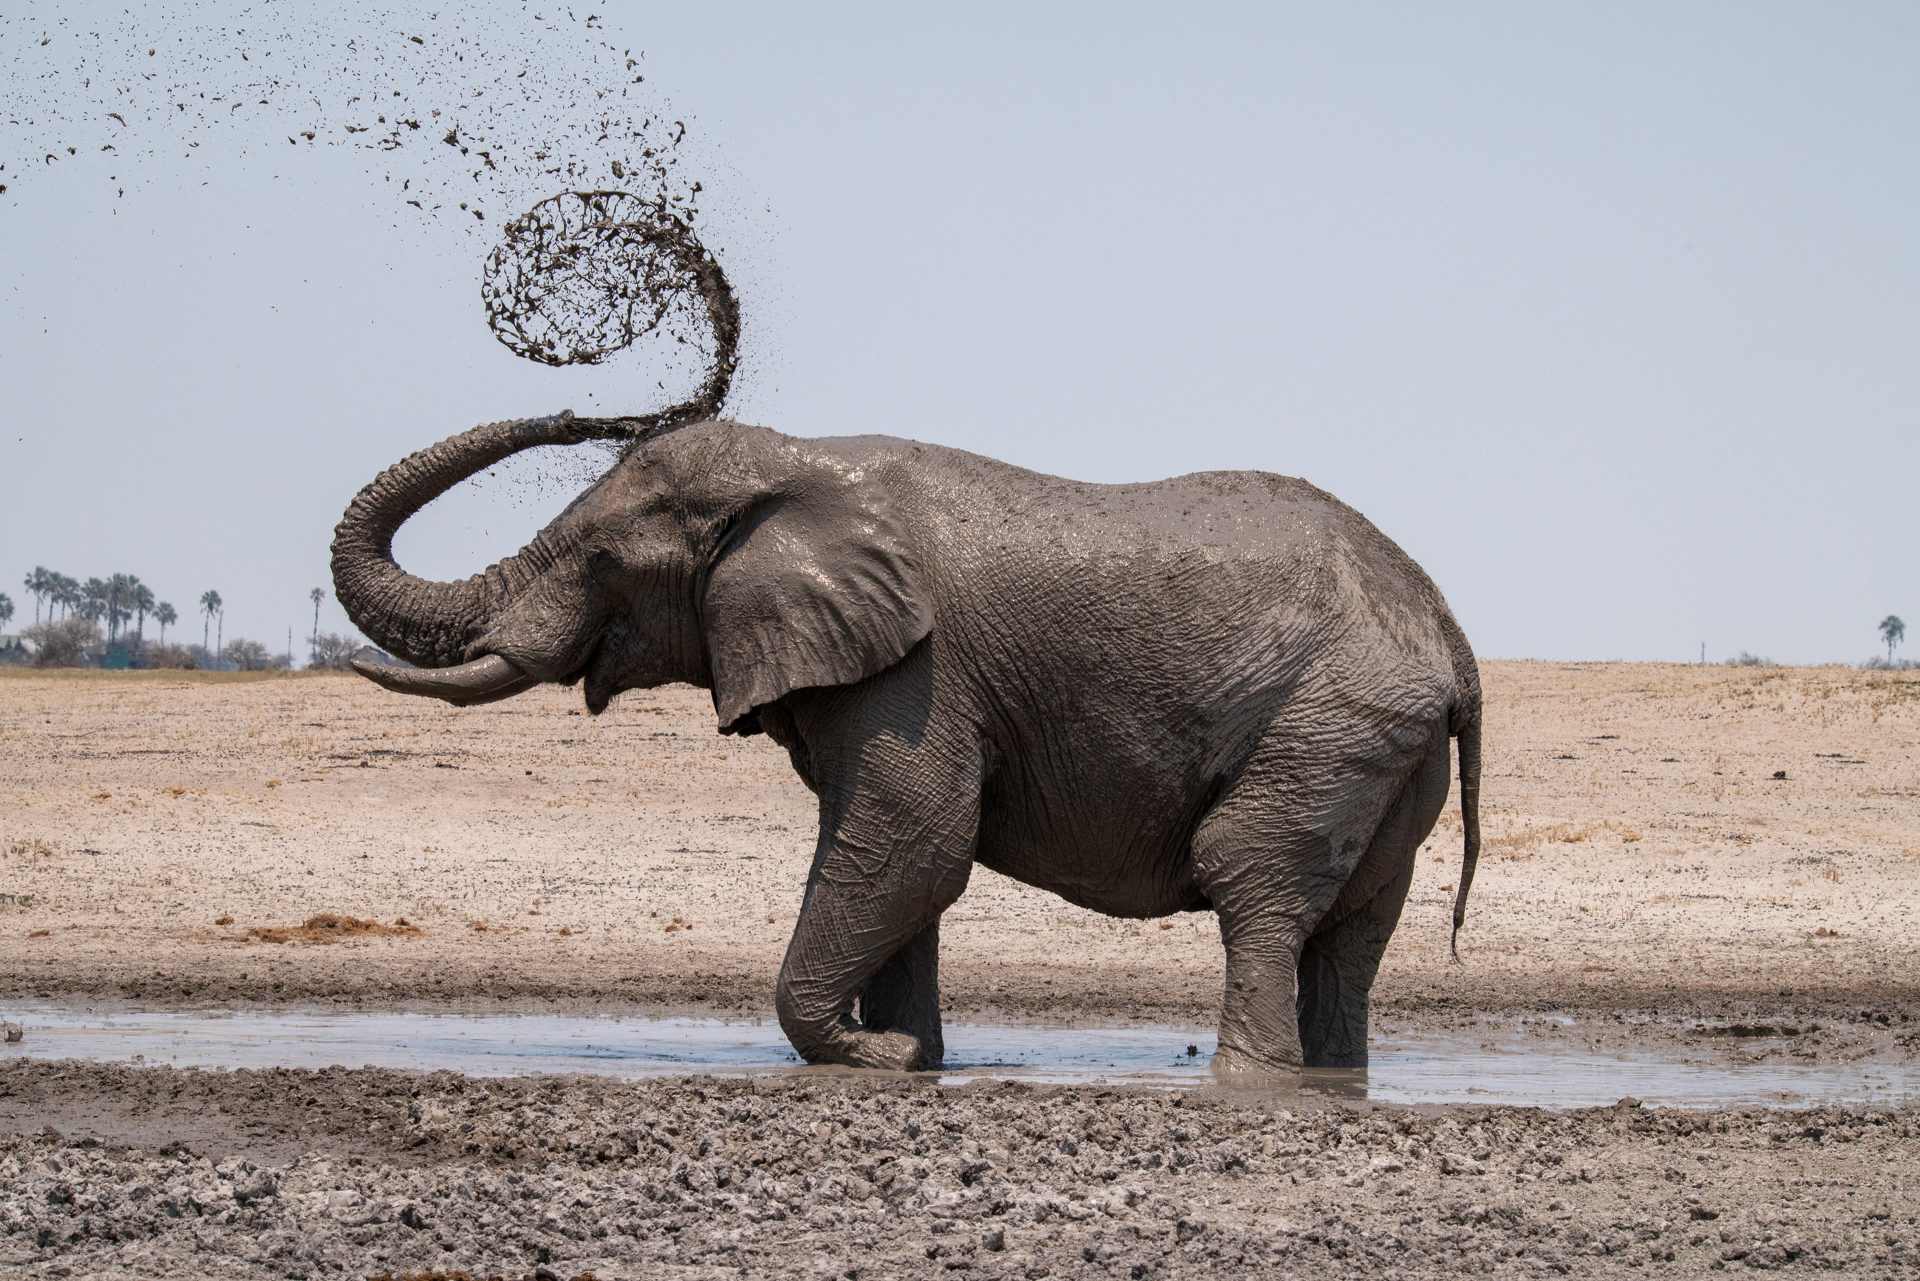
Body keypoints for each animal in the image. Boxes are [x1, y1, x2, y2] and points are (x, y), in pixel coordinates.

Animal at [331, 223, 1482, 1077]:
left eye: (604, 559)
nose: (594, 393)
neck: (797, 461)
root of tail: (1444, 624)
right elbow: (890, 854)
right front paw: (909, 1058)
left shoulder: (919, 667)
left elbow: (912, 837)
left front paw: (866, 1055)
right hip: (1385, 745)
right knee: (1354, 925)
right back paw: (1331, 1078)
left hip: (1333, 718)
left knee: (1251, 880)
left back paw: (1252, 1079)